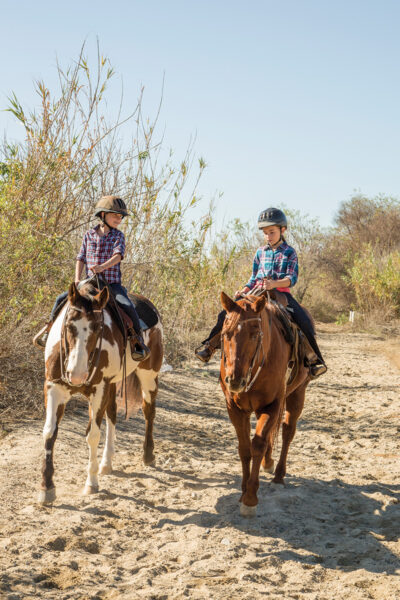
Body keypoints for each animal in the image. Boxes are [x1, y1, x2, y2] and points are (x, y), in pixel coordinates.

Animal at [38, 278, 162, 504]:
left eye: (98, 327)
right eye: (68, 325)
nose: (76, 374)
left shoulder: (98, 389)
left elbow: (93, 435)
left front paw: (91, 483)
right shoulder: (53, 387)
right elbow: (49, 432)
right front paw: (46, 488)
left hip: (148, 375)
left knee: (149, 411)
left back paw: (148, 455)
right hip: (112, 385)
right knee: (112, 414)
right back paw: (106, 463)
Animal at [219, 290, 310, 516]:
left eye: (255, 334)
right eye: (225, 333)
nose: (235, 380)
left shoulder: (272, 405)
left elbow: (258, 445)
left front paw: (250, 498)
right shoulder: (235, 408)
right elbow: (244, 448)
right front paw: (243, 491)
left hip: (297, 394)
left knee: (287, 431)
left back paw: (278, 476)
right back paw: (269, 464)